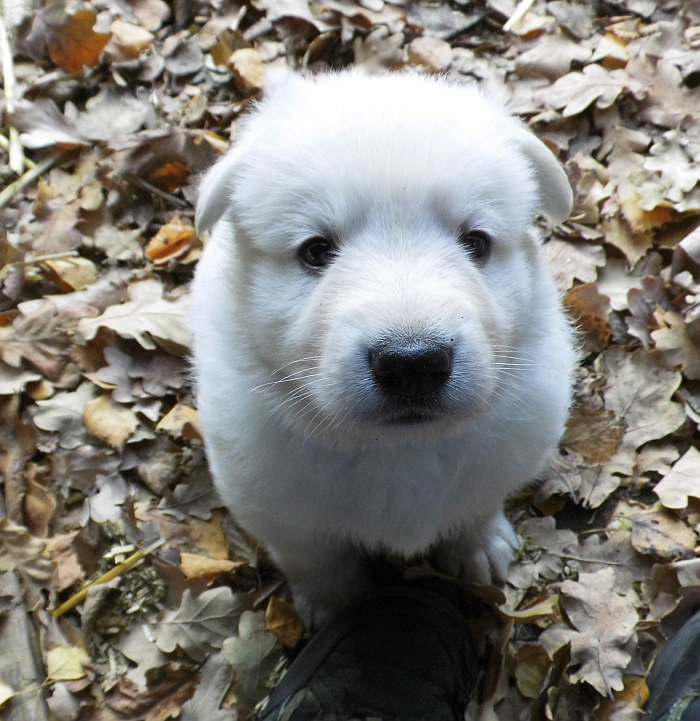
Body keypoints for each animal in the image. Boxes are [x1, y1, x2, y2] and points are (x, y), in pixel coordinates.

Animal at [190, 70, 576, 628]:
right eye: (315, 251)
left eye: (476, 243)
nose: (412, 363)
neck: (398, 450)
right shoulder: (278, 505)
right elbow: (316, 558)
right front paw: (335, 604)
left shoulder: (501, 457)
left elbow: (477, 507)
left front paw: (478, 547)